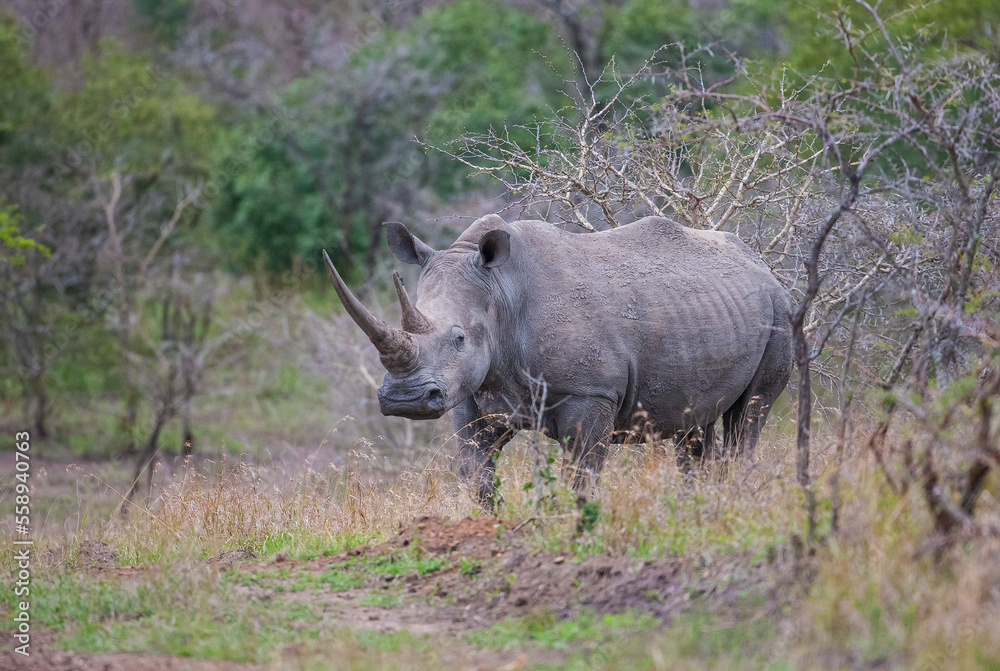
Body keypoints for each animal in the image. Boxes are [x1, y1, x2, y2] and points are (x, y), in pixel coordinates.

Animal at [323, 214, 792, 505]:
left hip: (780, 312)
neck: (500, 293)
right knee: (694, 427)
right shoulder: (474, 393)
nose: (404, 400)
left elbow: (581, 476)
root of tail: (761, 265)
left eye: (459, 338)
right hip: (708, 312)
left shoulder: (590, 393)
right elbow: (477, 474)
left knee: (748, 417)